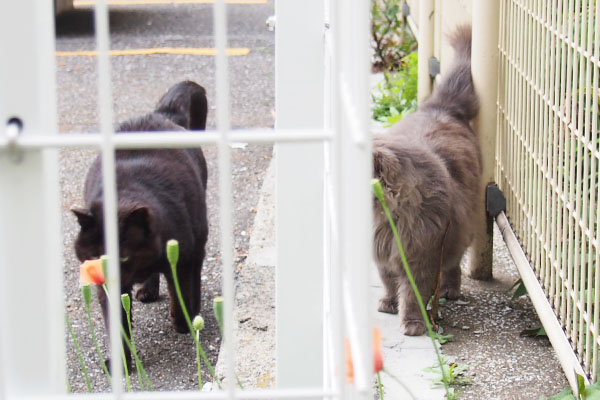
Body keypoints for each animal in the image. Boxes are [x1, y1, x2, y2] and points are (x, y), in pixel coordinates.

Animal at [372, 25, 480, 336]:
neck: (387, 221)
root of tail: (441, 107)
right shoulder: (382, 256)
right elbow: (388, 283)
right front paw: (387, 304)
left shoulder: (421, 257)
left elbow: (413, 294)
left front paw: (413, 324)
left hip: (460, 233)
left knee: (454, 267)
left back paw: (449, 291)